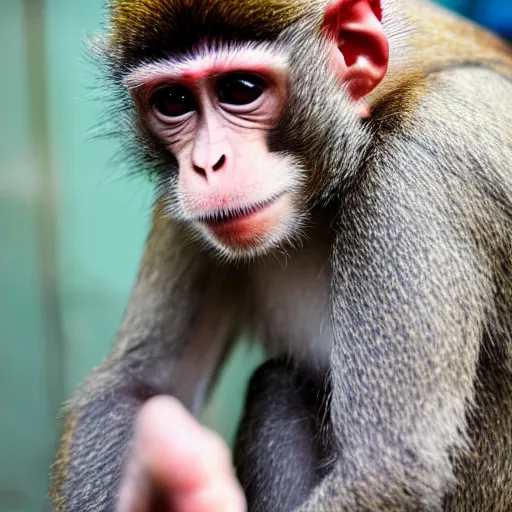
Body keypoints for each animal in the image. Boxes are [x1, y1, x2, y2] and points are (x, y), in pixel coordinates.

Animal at [51, 0, 512, 510]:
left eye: (240, 90)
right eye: (172, 101)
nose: (206, 165)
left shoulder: (416, 167)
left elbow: (386, 467)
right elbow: (141, 383)